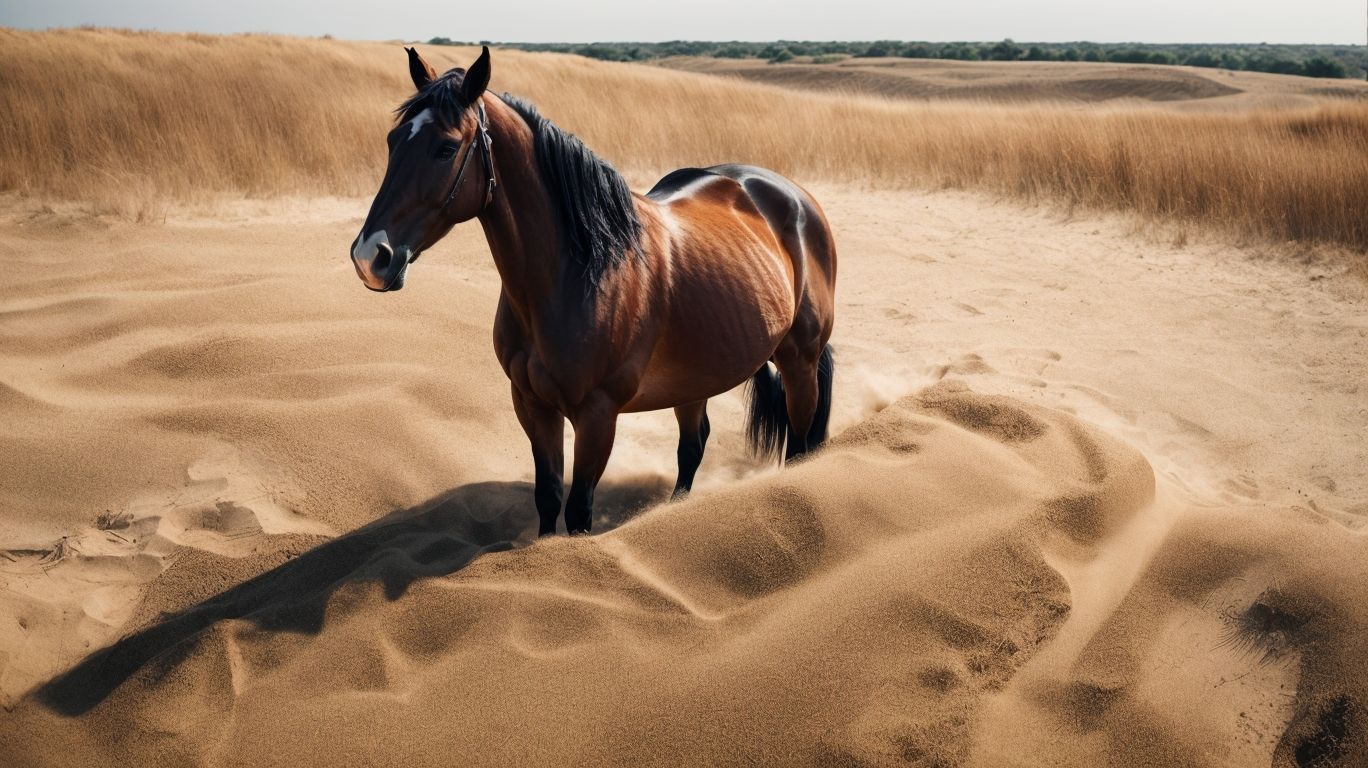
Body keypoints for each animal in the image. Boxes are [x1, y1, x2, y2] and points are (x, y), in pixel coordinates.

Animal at [351, 46, 837, 535]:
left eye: (447, 148)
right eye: (393, 140)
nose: (370, 257)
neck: (575, 274)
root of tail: (790, 195)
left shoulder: (598, 415)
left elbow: (579, 509)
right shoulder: (531, 404)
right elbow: (548, 497)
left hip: (799, 361)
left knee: (797, 446)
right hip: (696, 378)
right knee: (692, 446)